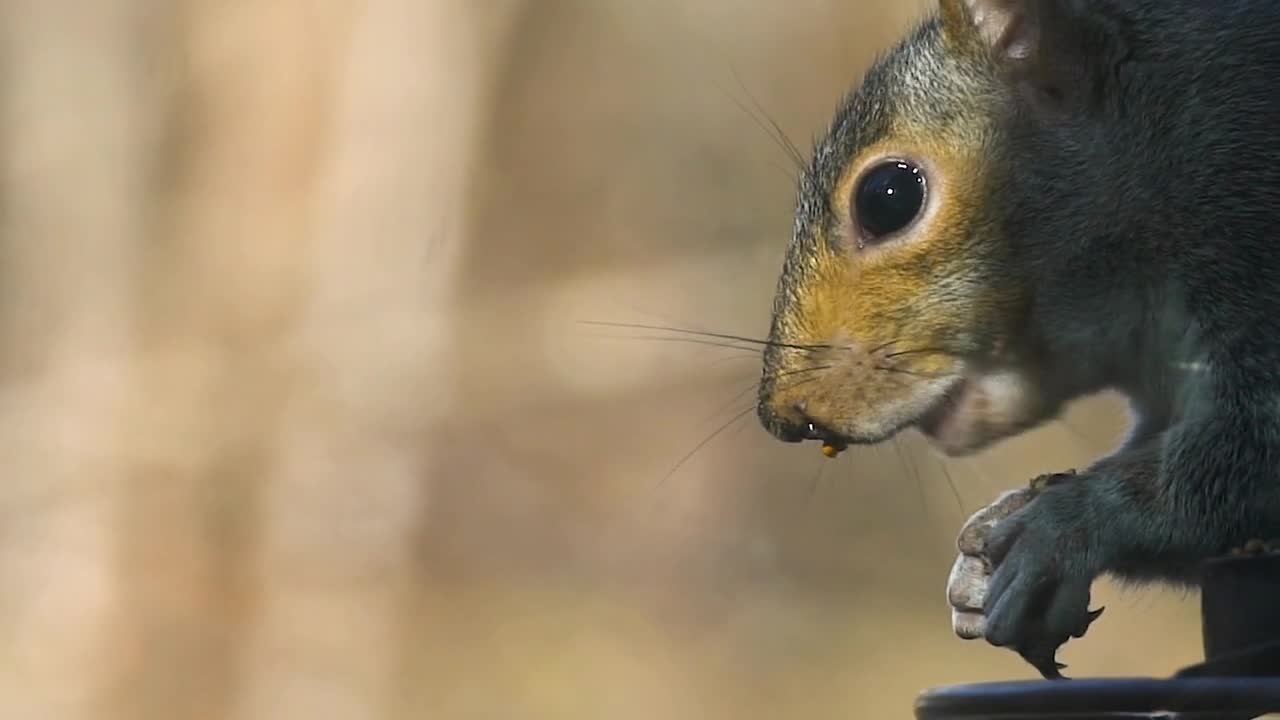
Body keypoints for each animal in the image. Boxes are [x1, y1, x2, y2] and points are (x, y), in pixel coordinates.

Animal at [752, 0, 1280, 676]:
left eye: (887, 197)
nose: (786, 416)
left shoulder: (1249, 238)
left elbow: (1243, 466)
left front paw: (1061, 524)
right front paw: (986, 553)